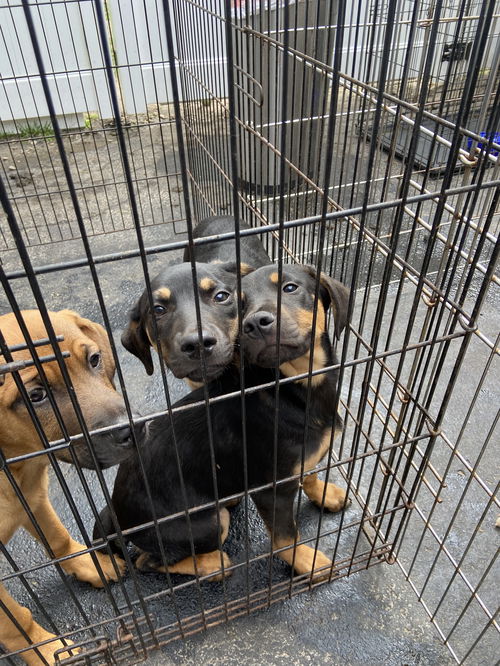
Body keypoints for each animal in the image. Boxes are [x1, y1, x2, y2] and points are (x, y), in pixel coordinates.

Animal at [0, 310, 133, 664]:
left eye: (94, 359)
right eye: (35, 396)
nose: (131, 428)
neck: (14, 466)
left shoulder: (31, 499)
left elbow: (58, 539)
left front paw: (91, 564)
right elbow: (15, 623)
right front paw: (46, 649)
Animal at [96, 262, 348, 580]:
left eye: (290, 288)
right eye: (239, 304)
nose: (257, 323)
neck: (294, 385)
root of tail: (117, 514)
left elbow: (310, 472)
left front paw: (326, 494)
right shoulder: (272, 490)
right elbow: (285, 537)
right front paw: (308, 562)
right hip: (211, 521)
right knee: (147, 561)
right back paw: (213, 565)